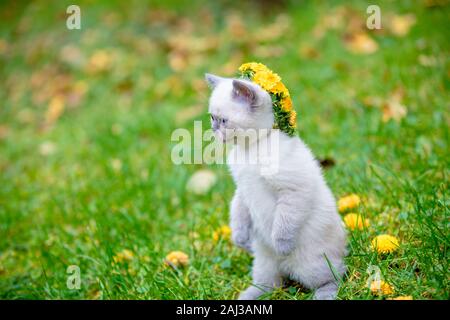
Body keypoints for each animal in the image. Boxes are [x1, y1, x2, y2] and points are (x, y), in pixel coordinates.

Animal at [205, 73, 348, 300]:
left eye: (224, 120)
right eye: (212, 117)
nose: (214, 130)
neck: (250, 149)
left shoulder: (292, 191)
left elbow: (284, 224)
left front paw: (281, 245)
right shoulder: (242, 191)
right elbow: (237, 213)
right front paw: (240, 239)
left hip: (311, 264)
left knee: (335, 275)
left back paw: (323, 293)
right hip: (264, 262)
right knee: (270, 283)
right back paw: (248, 295)